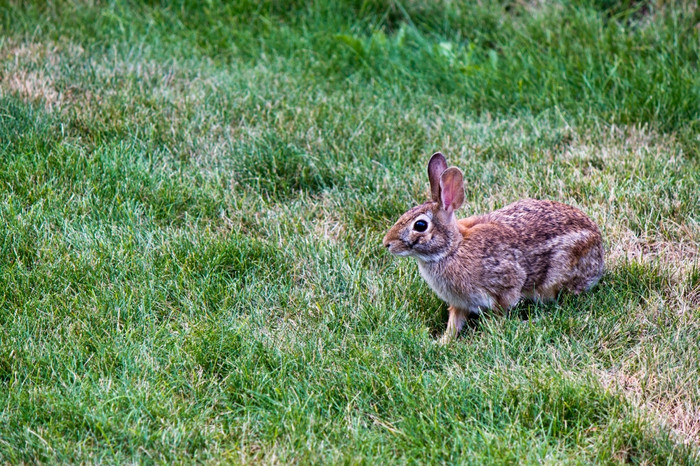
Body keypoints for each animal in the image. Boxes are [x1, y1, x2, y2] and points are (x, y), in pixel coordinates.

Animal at [380, 153, 604, 342]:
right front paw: (442, 342)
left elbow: (501, 309)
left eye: (420, 225)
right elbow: (454, 322)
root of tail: (599, 245)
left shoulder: (505, 283)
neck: (452, 248)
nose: (387, 243)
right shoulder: (459, 303)